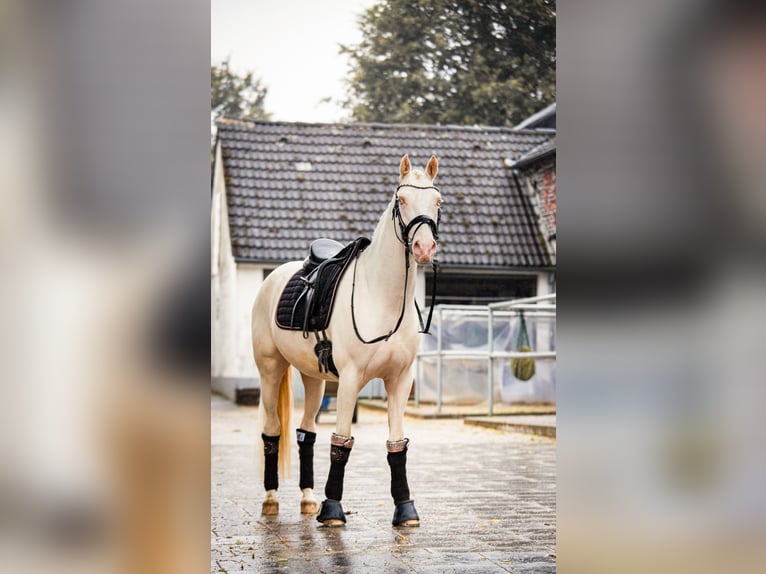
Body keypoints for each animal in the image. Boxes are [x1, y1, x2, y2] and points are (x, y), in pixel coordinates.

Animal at [254, 155, 444, 528]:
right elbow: (341, 442)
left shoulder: (400, 380)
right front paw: (332, 510)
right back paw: (271, 500)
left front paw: (406, 509)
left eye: (438, 201)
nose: (424, 248)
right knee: (272, 431)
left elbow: (396, 444)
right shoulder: (351, 379)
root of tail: (273, 278)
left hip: (313, 378)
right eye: (402, 200)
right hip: (270, 371)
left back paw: (308, 499)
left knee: (306, 433)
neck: (380, 297)